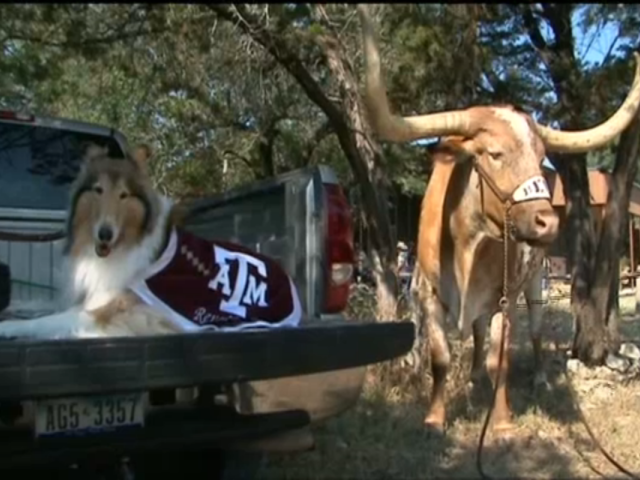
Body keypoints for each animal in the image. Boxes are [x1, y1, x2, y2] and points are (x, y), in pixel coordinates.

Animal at [0, 144, 302, 340]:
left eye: (124, 195)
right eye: (98, 190)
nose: (105, 234)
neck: (127, 243)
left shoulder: (116, 311)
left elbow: (49, 321)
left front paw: (7, 328)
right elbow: (42, 312)